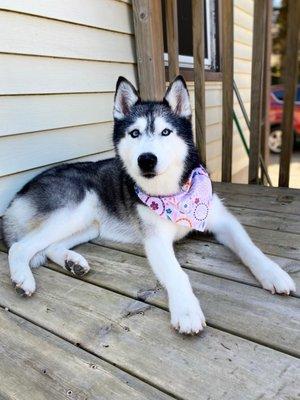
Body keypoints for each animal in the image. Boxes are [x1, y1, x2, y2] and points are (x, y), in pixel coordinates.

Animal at [3, 76, 296, 334]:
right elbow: (178, 274)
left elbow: (250, 248)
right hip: (76, 208)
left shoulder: (223, 220)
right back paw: (24, 279)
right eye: (134, 133)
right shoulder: (156, 240)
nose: (146, 159)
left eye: (166, 132)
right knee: (20, 247)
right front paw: (186, 310)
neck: (173, 193)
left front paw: (273, 272)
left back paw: (72, 261)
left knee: (48, 247)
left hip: (89, 225)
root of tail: (20, 192)